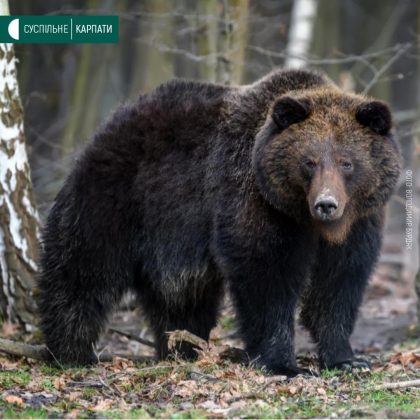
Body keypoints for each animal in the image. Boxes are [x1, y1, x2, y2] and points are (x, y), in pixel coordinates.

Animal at [38, 69, 400, 378]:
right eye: (308, 162)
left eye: (346, 162)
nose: (326, 204)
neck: (308, 221)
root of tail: (112, 121)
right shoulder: (257, 204)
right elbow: (266, 274)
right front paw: (283, 363)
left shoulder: (358, 224)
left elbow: (338, 284)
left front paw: (346, 359)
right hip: (117, 199)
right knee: (81, 271)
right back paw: (70, 352)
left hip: (171, 241)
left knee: (182, 297)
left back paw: (182, 348)